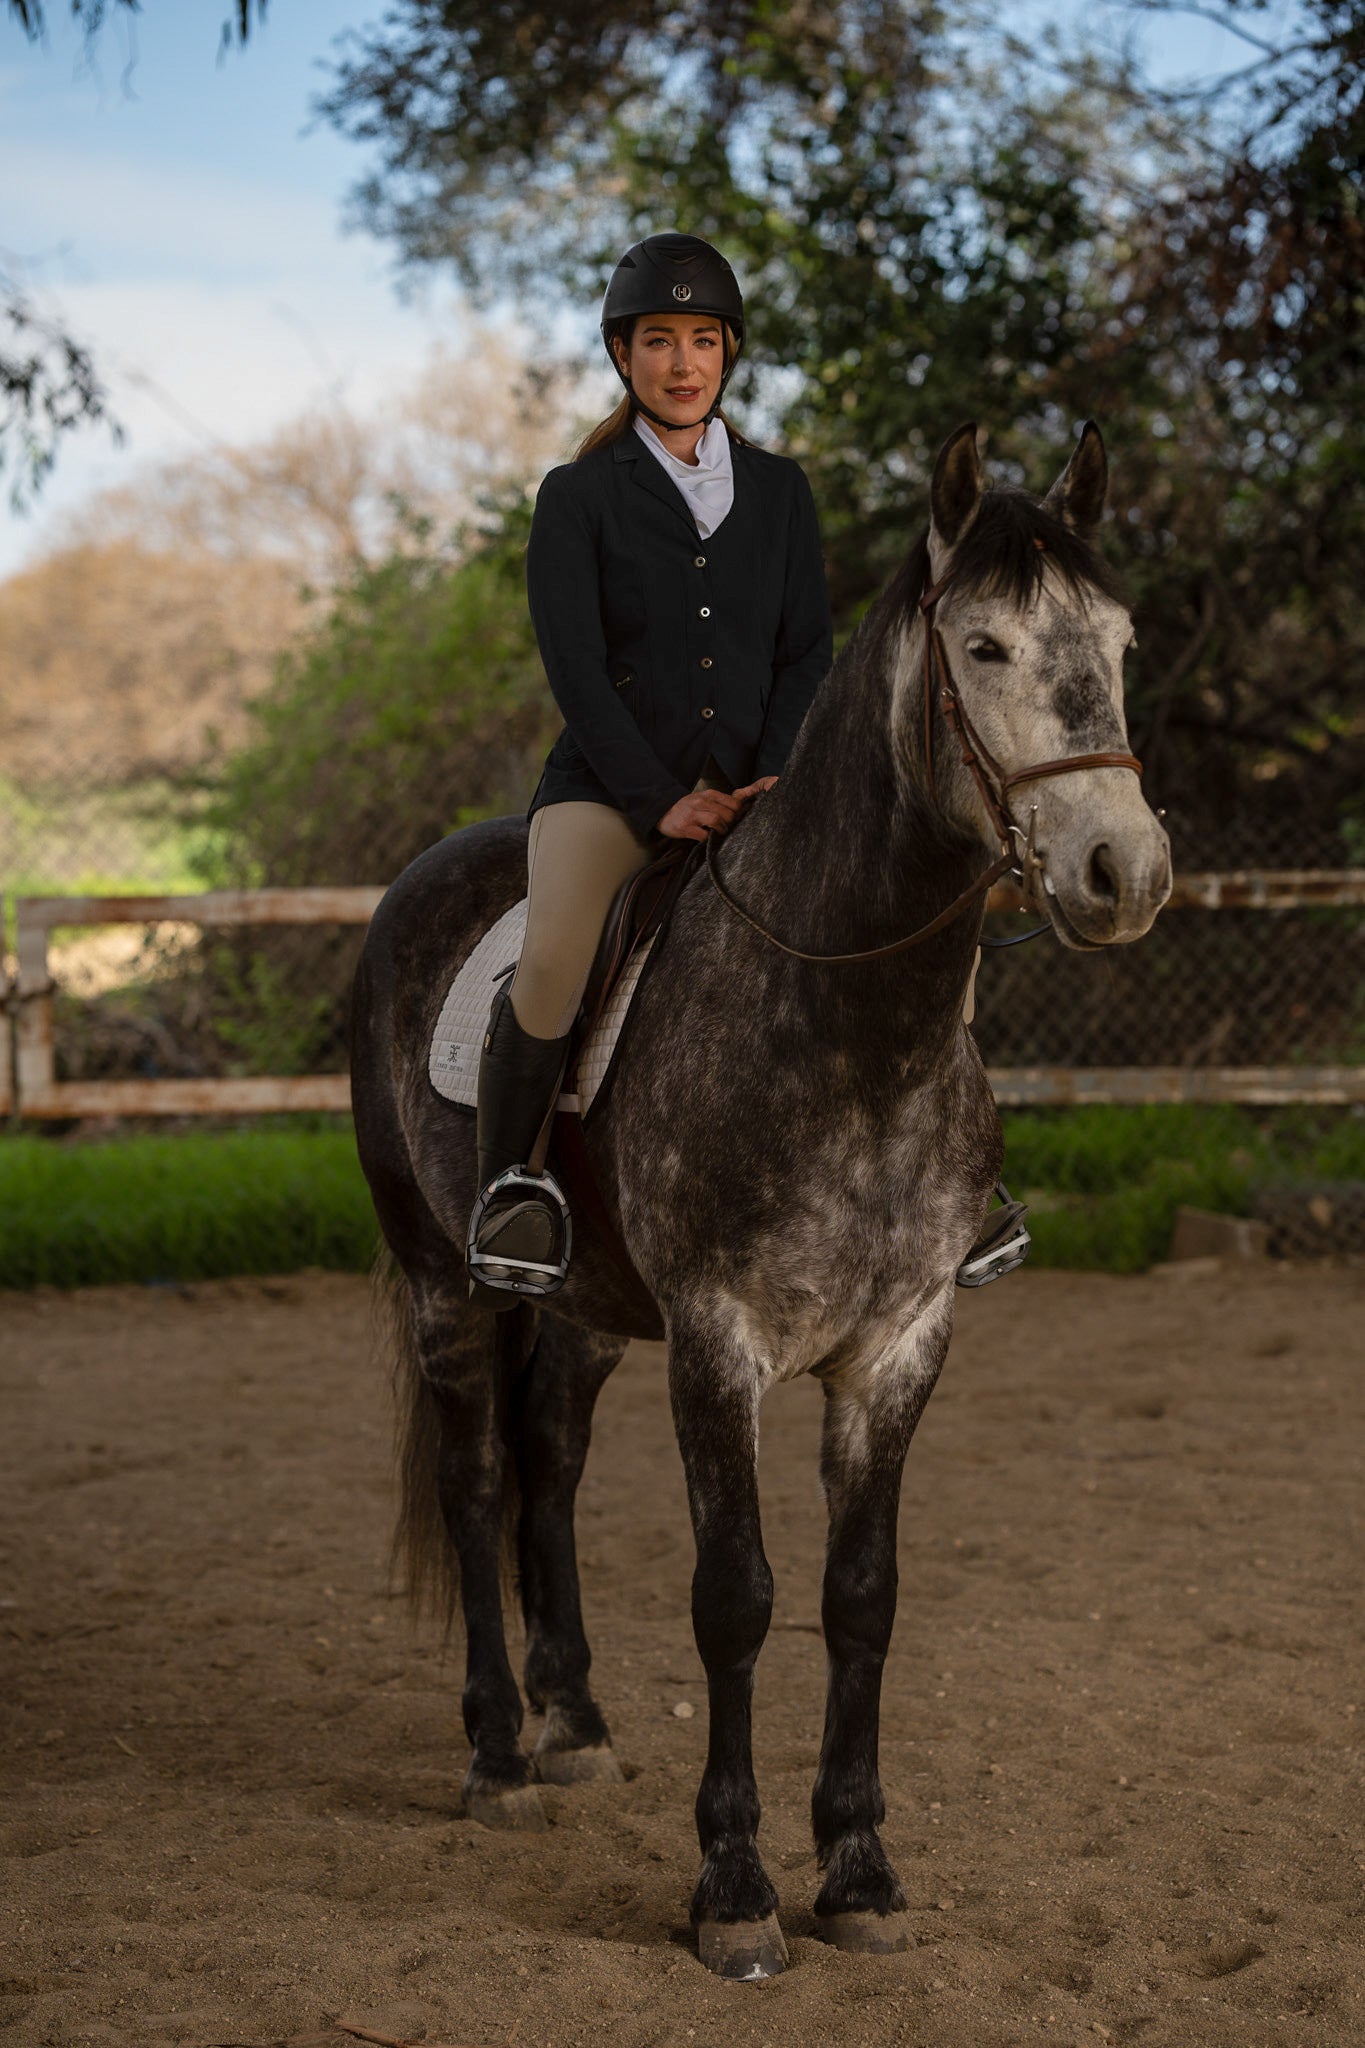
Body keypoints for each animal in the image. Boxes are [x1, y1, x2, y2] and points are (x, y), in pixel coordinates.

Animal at [351, 423, 1178, 1974]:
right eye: (983, 647)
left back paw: (575, 1723)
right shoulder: (720, 1344)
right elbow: (735, 1597)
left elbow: (862, 1600)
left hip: (586, 1310)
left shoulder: (899, 1349)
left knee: (548, 1462)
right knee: (478, 1474)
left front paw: (857, 1873)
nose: (1125, 873)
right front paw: (733, 1891)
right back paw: (498, 1754)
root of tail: (423, 873)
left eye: (1119, 642)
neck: (848, 1022)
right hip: (443, 1282)